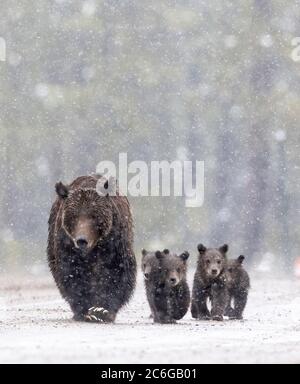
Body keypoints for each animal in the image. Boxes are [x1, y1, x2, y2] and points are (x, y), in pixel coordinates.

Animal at [47, 176, 137, 322]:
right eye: (74, 216)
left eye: (94, 215)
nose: (81, 240)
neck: (93, 249)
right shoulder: (67, 246)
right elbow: (72, 274)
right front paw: (84, 310)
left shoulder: (114, 245)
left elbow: (116, 273)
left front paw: (102, 310)